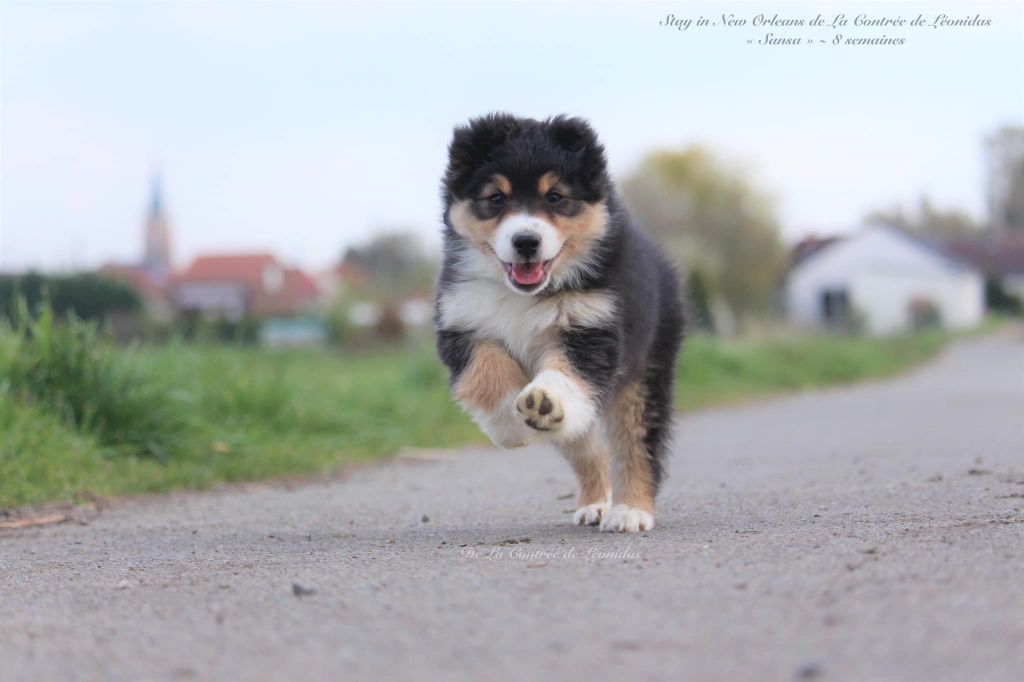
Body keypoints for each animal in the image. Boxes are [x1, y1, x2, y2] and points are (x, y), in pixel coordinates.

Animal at [434, 112, 684, 532]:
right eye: (496, 198)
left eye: (554, 197)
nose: (525, 242)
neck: (524, 296)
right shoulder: (462, 324)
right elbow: (486, 373)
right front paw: (513, 424)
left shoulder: (592, 327)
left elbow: (567, 375)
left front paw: (544, 399)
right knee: (586, 444)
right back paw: (596, 503)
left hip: (645, 366)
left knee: (634, 442)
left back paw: (629, 510)